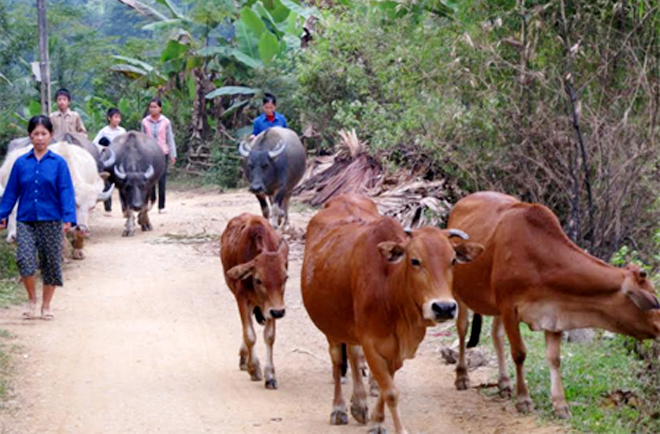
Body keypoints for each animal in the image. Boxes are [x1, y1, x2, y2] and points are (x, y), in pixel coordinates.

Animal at [220, 214, 288, 390]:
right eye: (258, 280)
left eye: (285, 278)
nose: (279, 312)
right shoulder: (242, 298)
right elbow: (249, 334)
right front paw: (255, 369)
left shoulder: (272, 306)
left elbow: (269, 337)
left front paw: (270, 376)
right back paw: (245, 359)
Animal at [302, 195, 482, 432]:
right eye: (414, 260)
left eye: (453, 260)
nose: (444, 307)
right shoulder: (371, 344)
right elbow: (390, 391)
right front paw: (395, 428)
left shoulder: (397, 351)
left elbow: (385, 385)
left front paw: (377, 420)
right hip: (332, 327)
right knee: (337, 361)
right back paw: (339, 408)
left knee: (352, 353)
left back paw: (359, 404)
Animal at [448, 192, 660, 418]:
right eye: (653, 301)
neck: (538, 259)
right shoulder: (508, 307)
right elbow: (519, 353)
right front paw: (524, 399)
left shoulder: (553, 311)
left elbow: (554, 358)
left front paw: (560, 404)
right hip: (459, 294)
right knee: (462, 329)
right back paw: (462, 376)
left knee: (497, 335)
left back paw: (504, 383)